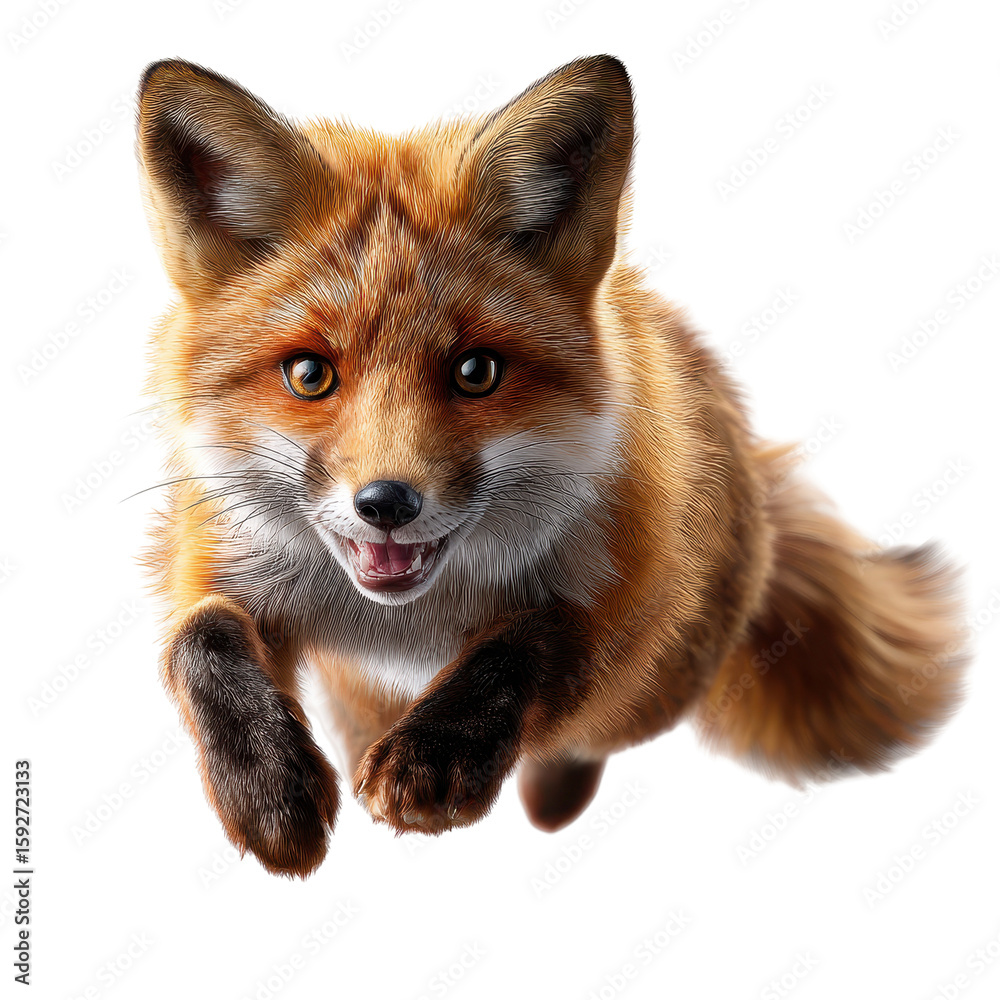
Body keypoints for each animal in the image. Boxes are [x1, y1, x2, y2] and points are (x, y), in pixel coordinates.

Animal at [136, 55, 968, 878]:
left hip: (662, 681)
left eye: (476, 372)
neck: (411, 622)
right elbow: (198, 642)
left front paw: (436, 756)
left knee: (584, 739)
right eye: (310, 375)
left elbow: (532, 640)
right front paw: (269, 795)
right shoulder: (218, 556)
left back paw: (550, 798)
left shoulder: (627, 587)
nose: (387, 503)